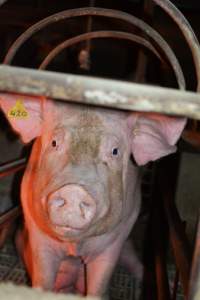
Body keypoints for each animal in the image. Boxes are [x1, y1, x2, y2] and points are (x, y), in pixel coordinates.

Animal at [0, 94, 186, 298]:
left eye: (115, 151)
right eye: (54, 143)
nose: (74, 190)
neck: (75, 246)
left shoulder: (117, 237)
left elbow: (98, 285)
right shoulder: (37, 232)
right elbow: (43, 279)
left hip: (128, 247)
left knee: (137, 265)